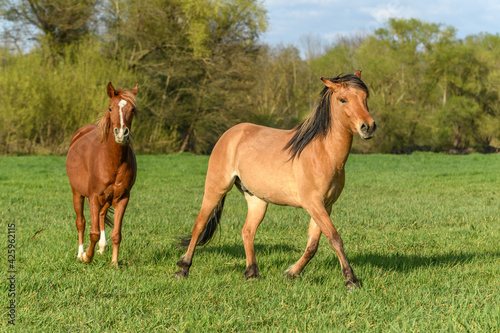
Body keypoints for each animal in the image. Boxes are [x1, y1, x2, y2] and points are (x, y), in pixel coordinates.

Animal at [66, 81, 139, 266]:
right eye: (110, 108)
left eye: (132, 109)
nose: (121, 133)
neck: (112, 161)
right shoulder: (94, 197)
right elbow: (93, 232)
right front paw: (86, 256)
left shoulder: (122, 198)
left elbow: (116, 234)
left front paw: (114, 263)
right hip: (77, 193)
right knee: (81, 223)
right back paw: (80, 252)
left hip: (107, 199)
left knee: (101, 216)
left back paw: (101, 247)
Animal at [176, 70, 376, 288]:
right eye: (343, 99)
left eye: (365, 97)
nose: (368, 127)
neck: (323, 152)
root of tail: (230, 134)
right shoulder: (313, 203)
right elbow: (334, 238)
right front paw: (351, 280)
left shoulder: (326, 205)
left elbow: (313, 245)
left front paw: (292, 273)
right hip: (216, 189)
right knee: (199, 225)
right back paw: (183, 268)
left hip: (257, 200)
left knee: (247, 232)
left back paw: (252, 273)